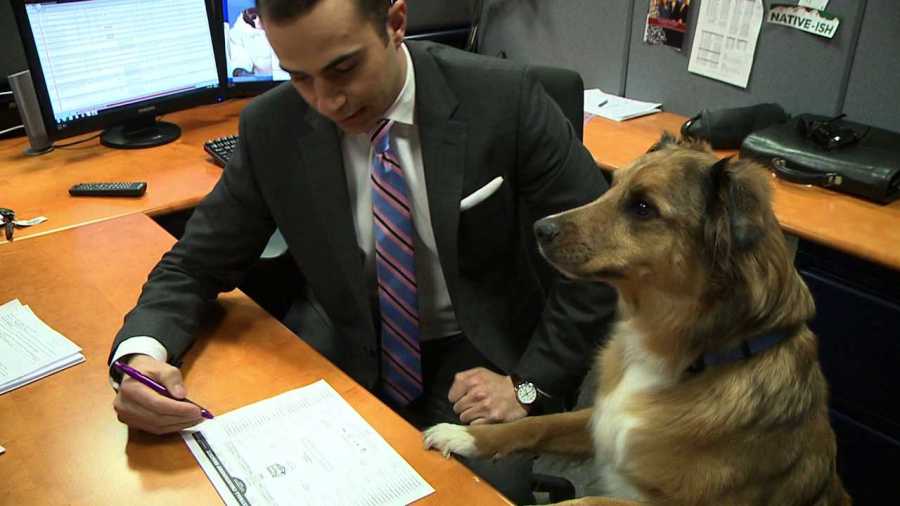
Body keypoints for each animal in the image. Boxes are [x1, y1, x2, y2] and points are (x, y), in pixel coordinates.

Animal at [426, 135, 848, 506]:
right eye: (612, 186)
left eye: (643, 207)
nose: (539, 229)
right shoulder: (599, 421)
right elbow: (536, 424)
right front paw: (463, 435)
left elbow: (585, 501)